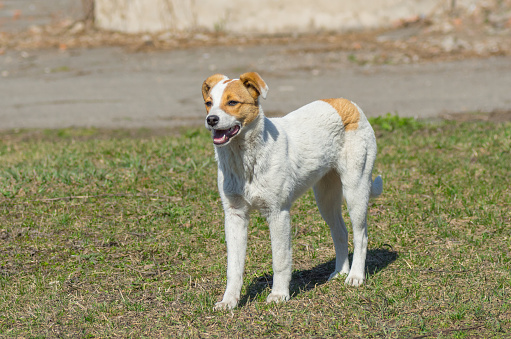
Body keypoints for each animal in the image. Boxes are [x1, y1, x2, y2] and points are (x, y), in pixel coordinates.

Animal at [202, 71, 382, 310]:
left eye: (232, 102)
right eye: (209, 103)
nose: (211, 120)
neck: (245, 159)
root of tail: (348, 103)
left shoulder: (278, 213)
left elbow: (280, 259)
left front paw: (279, 295)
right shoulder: (234, 216)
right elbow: (234, 266)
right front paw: (229, 301)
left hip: (356, 189)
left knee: (361, 235)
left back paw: (355, 276)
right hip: (325, 197)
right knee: (340, 232)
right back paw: (340, 272)